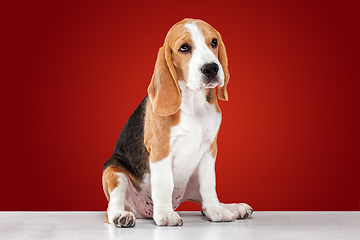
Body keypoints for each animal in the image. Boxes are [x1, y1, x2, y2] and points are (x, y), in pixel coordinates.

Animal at [102, 18, 253, 227]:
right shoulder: (161, 149)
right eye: (184, 48)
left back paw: (232, 207)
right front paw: (166, 214)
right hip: (114, 172)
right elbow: (164, 183)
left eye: (214, 42)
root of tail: (144, 211)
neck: (194, 104)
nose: (211, 68)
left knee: (203, 202)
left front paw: (217, 211)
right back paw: (122, 215)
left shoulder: (209, 149)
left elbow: (209, 185)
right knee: (113, 205)